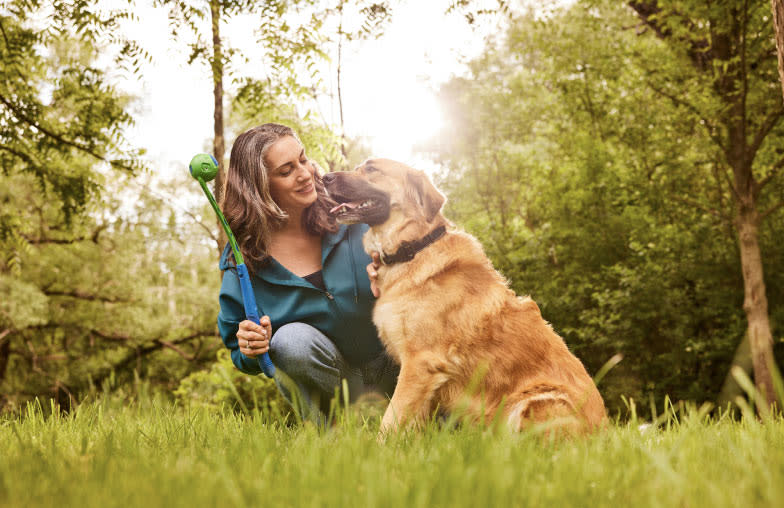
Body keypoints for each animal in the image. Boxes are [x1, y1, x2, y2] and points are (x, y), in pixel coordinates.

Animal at [322, 160, 604, 436]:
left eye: (371, 168)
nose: (325, 177)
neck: (414, 248)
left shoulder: (420, 363)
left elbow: (391, 419)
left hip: (534, 401)